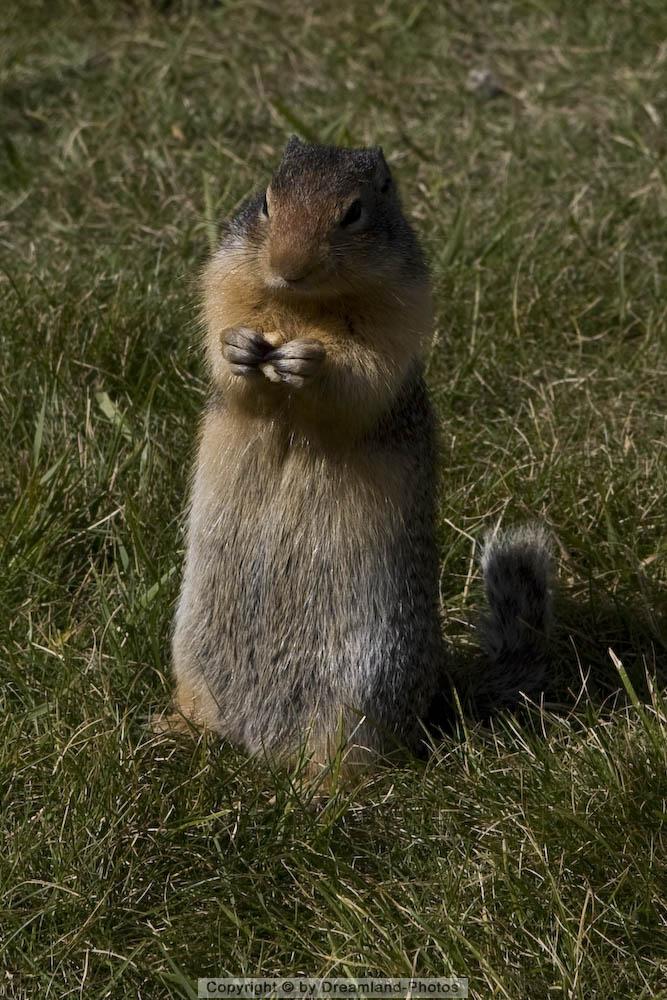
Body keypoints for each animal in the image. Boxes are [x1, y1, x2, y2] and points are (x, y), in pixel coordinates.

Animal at [167, 135, 552, 772]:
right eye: (266, 201)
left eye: (354, 212)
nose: (287, 266)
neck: (302, 309)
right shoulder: (226, 273)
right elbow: (222, 323)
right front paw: (238, 346)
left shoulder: (396, 311)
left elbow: (363, 371)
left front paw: (311, 362)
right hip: (193, 654)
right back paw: (175, 729)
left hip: (359, 689)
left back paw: (318, 784)